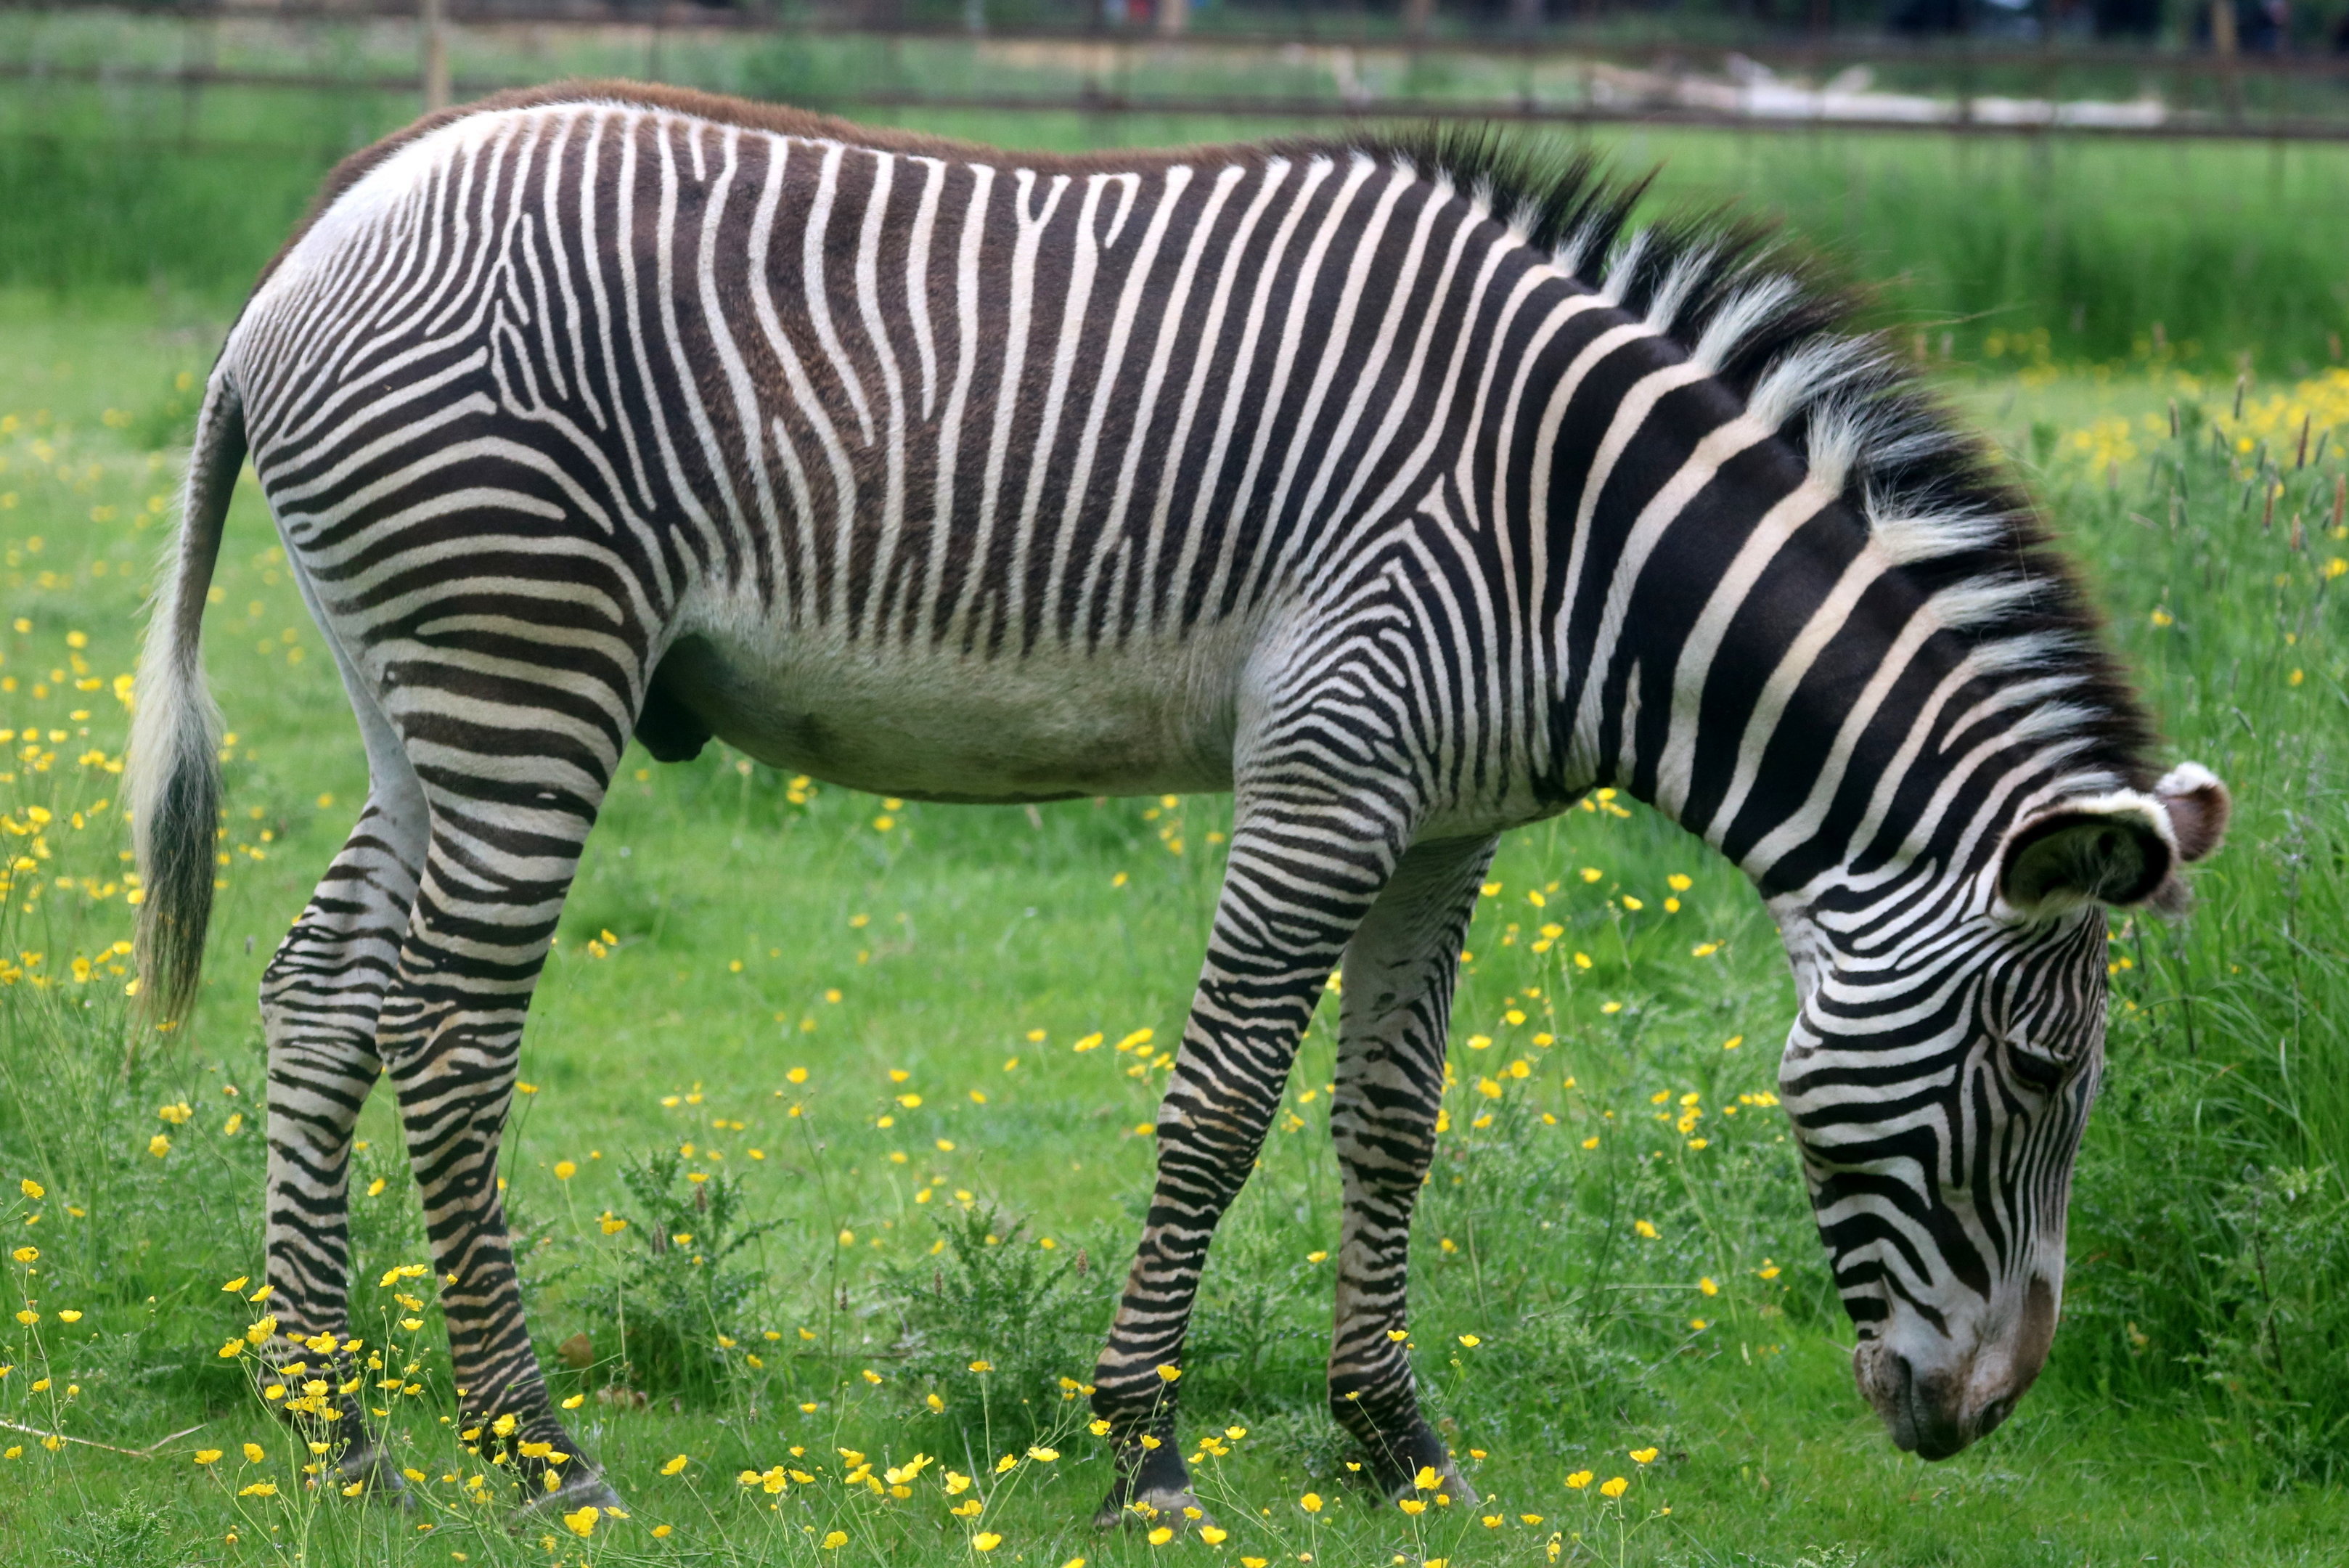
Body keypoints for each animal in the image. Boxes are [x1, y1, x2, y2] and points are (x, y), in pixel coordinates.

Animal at [130, 83, 2228, 1524]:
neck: (1583, 541)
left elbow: (1392, 1124)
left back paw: (335, 1430)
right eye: (2043, 1074)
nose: (1980, 1416)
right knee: (446, 1032)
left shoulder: (1446, 817)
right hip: (519, 664)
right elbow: (1220, 1104)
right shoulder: (1329, 763)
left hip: (420, 694)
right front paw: (1142, 1443)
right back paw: (528, 1445)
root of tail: (314, 242)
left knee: (321, 995)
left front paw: (1394, 1441)